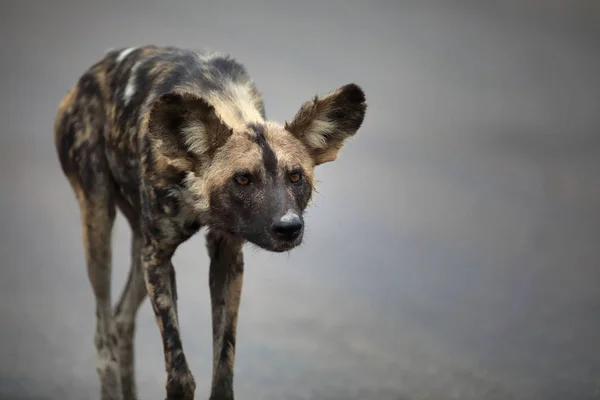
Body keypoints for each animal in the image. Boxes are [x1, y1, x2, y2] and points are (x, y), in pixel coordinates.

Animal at [55, 45, 366, 398]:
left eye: (296, 176)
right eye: (243, 179)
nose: (288, 227)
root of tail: (88, 76)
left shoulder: (226, 255)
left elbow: (223, 371)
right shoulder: (158, 256)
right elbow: (179, 376)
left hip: (138, 248)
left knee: (121, 320)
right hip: (99, 228)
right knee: (104, 334)